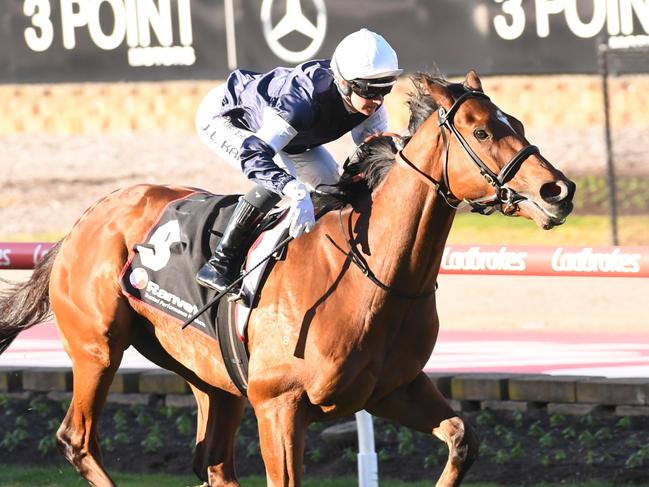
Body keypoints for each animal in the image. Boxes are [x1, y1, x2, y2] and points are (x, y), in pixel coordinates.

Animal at [2, 70, 576, 486]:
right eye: (482, 131)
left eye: (518, 124)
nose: (558, 191)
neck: (374, 278)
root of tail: (85, 219)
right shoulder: (278, 406)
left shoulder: (393, 388)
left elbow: (461, 438)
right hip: (97, 347)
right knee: (79, 439)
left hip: (213, 380)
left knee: (212, 462)